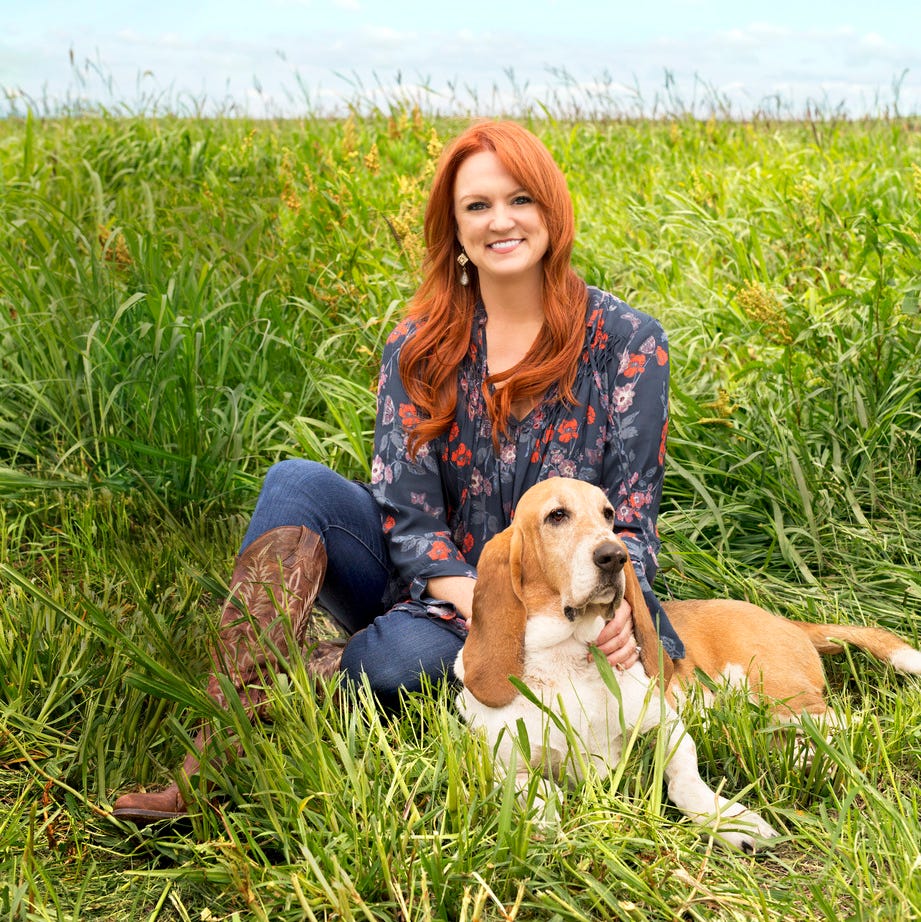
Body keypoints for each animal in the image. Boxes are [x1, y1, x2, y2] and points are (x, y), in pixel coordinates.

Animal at [452, 478, 920, 852]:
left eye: (608, 514)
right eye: (557, 516)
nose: (614, 556)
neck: (567, 658)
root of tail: (788, 621)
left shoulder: (667, 724)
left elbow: (684, 778)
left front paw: (729, 819)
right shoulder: (500, 765)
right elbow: (539, 792)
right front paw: (547, 823)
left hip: (781, 700)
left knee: (851, 723)